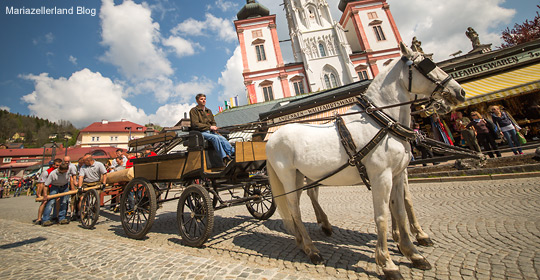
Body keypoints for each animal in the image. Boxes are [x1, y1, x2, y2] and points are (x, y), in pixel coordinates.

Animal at [266, 42, 464, 280]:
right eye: (427, 64)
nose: (459, 91)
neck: (383, 122)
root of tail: (272, 137)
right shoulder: (381, 177)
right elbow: (382, 216)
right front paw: (387, 263)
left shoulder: (398, 175)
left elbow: (400, 210)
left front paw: (413, 253)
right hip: (287, 177)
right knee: (294, 209)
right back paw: (312, 250)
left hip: (302, 176)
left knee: (303, 202)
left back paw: (306, 239)